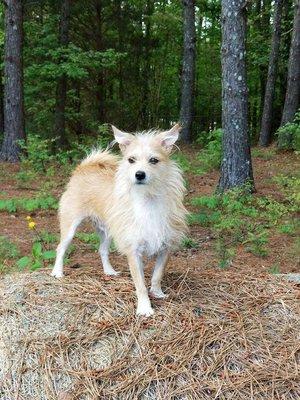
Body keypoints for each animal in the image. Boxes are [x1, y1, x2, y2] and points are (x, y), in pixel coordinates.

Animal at [51, 123, 188, 318]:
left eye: (154, 160)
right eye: (131, 160)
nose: (139, 174)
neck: (148, 199)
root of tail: (82, 169)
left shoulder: (165, 247)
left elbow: (157, 275)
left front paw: (157, 293)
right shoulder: (133, 251)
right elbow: (140, 284)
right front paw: (144, 307)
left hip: (109, 231)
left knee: (102, 249)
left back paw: (109, 271)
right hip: (70, 226)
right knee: (61, 248)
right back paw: (57, 272)